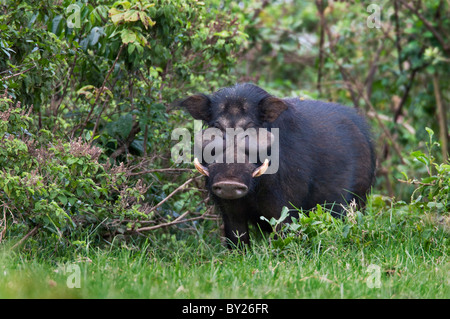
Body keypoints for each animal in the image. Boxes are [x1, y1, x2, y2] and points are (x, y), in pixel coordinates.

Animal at [178, 84, 372, 249]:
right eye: (217, 127)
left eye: (251, 127)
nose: (229, 183)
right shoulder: (229, 210)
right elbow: (237, 241)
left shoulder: (284, 206)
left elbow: (283, 237)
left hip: (354, 201)